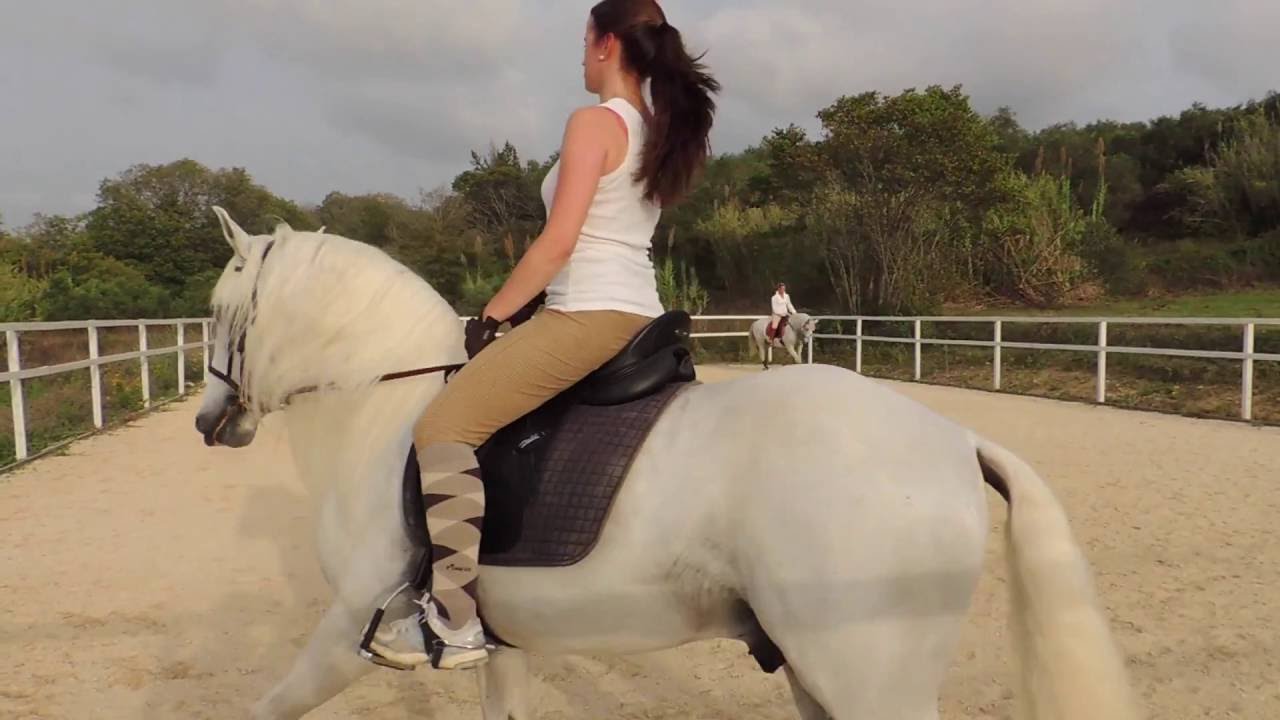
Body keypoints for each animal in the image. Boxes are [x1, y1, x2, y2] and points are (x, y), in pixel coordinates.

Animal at [194, 207, 1139, 720]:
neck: (384, 407)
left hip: (869, 676)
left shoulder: (351, 627)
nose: (209, 420)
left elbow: (269, 705)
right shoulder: (503, 644)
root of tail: (951, 437)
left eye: (218, 309)